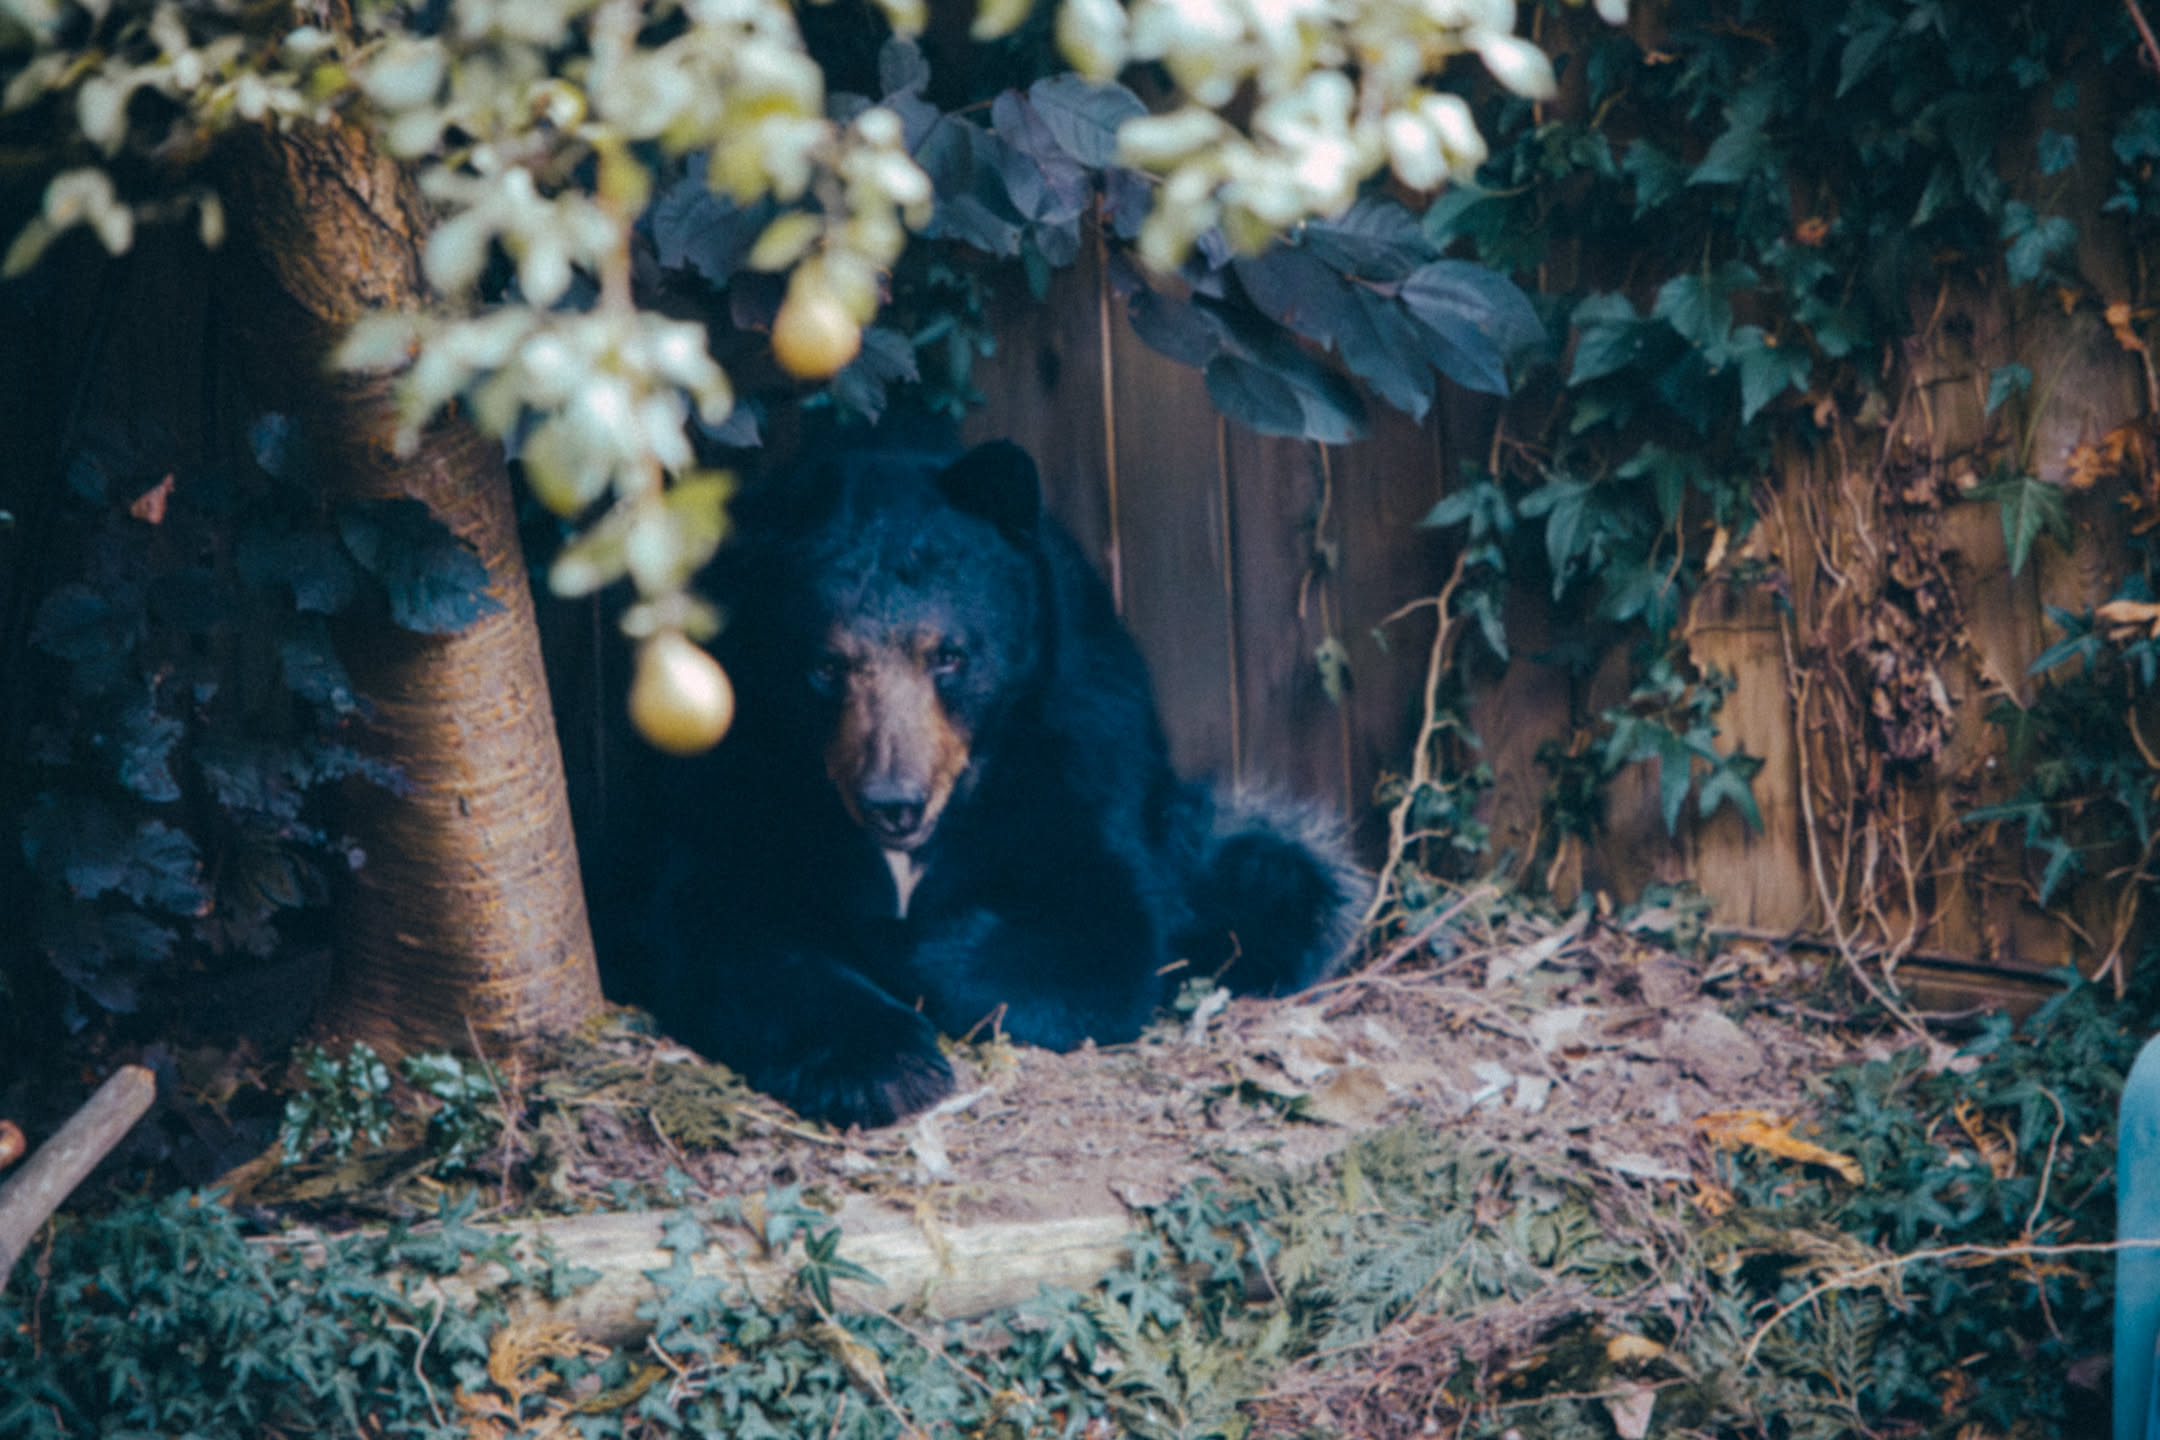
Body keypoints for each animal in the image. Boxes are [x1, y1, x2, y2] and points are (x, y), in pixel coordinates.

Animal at [606, 439, 1365, 1128]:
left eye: (949, 655)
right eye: (824, 665)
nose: (893, 803)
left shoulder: (1073, 745)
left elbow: (1090, 933)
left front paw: (889, 948)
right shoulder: (731, 761)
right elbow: (713, 919)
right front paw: (885, 1066)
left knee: (1280, 881)